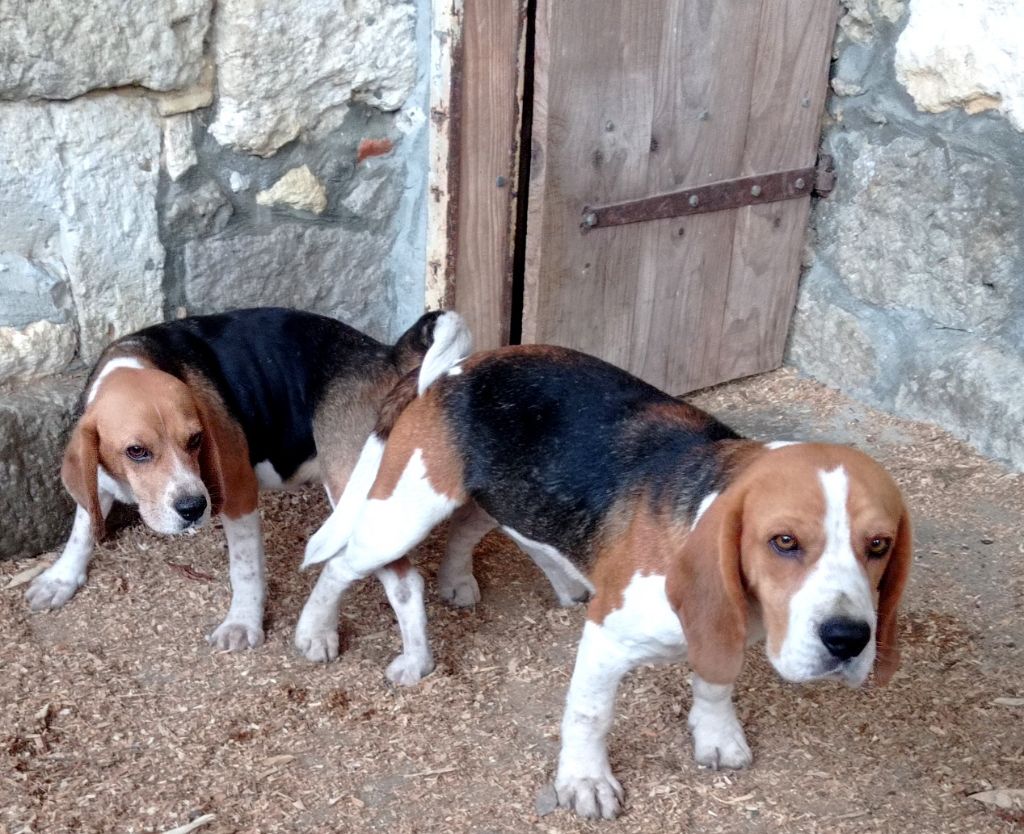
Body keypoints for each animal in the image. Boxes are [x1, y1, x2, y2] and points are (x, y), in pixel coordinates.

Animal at [25, 307, 468, 684]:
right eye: (136, 451)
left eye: (196, 440)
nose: (193, 508)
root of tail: (387, 356)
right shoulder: (96, 476)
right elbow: (82, 527)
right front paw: (61, 579)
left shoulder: (237, 493)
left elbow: (244, 569)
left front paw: (242, 624)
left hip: (356, 496)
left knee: (404, 582)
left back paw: (396, 655)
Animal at [299, 346, 909, 823]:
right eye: (784, 542)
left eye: (879, 545)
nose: (848, 639)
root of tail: (457, 367)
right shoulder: (608, 640)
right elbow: (591, 716)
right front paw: (585, 782)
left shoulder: (720, 635)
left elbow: (715, 684)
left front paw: (716, 735)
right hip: (401, 515)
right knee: (340, 566)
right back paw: (316, 632)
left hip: (501, 496)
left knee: (471, 527)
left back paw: (469, 579)